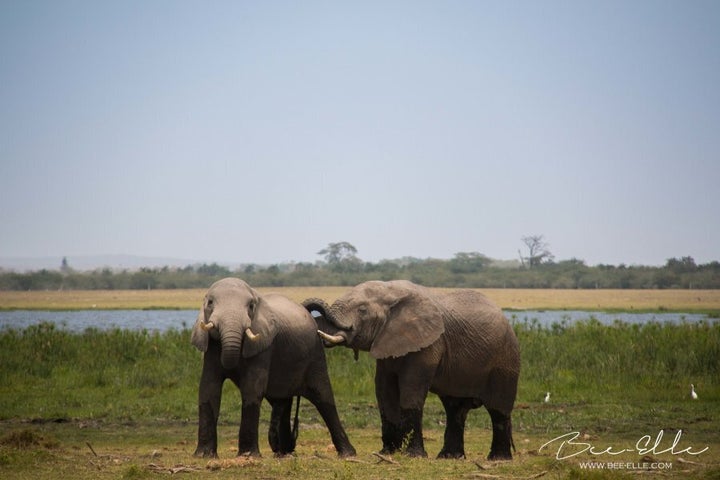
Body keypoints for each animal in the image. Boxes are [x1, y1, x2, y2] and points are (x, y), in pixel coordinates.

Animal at [190, 278, 356, 458]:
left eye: (251, 306)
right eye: (210, 303)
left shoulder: (264, 346)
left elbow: (252, 388)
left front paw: (248, 455)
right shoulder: (210, 346)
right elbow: (209, 388)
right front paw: (203, 455)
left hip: (315, 354)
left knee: (323, 397)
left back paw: (347, 454)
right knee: (282, 400)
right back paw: (283, 453)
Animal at [302, 282, 516, 462]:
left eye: (362, 310)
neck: (391, 291)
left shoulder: (428, 344)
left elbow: (411, 391)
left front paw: (414, 456)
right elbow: (384, 391)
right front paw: (386, 453)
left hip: (505, 360)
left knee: (498, 409)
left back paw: (498, 459)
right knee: (455, 409)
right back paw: (449, 457)